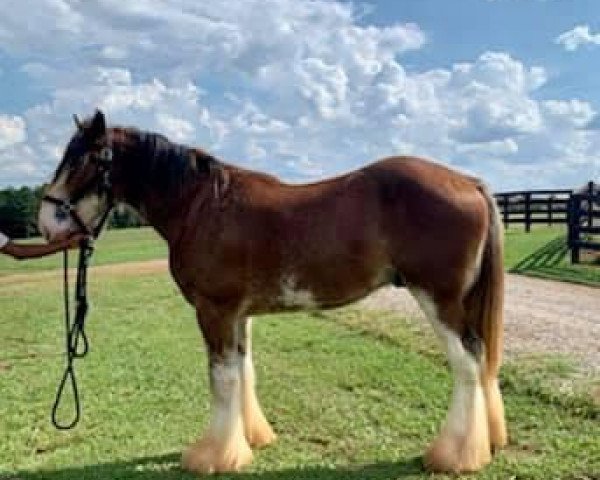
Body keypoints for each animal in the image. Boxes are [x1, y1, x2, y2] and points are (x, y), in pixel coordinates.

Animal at [37, 110, 506, 474]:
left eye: (85, 160)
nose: (45, 222)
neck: (200, 205)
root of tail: (467, 182)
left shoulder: (214, 310)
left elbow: (222, 378)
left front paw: (215, 457)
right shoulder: (239, 314)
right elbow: (244, 371)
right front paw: (251, 439)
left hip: (439, 298)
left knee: (467, 363)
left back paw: (454, 456)